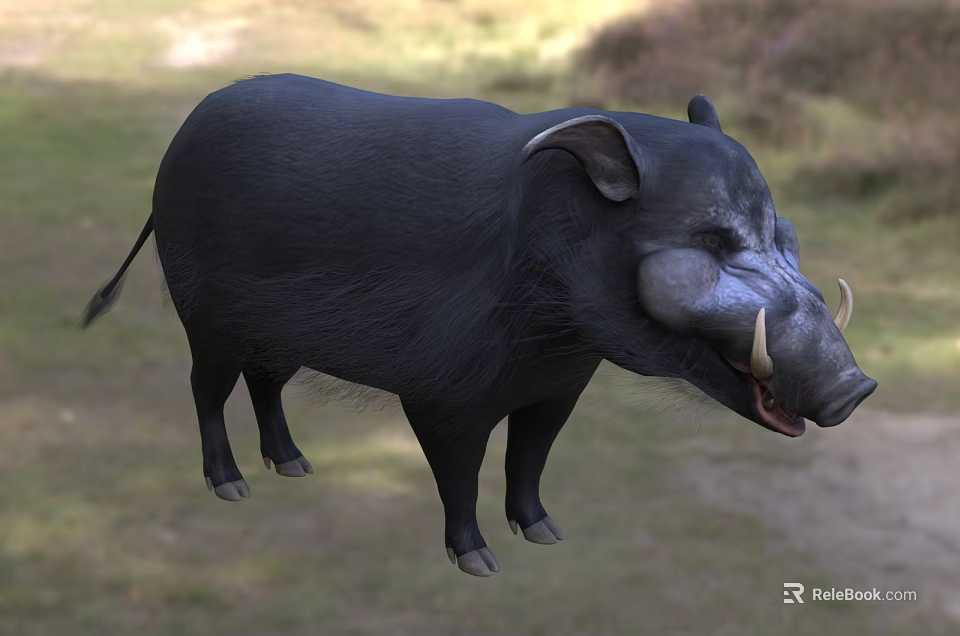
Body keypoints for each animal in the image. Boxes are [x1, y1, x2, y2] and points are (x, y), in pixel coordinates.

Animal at [80, 74, 877, 577]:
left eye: (781, 231)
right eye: (710, 242)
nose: (856, 390)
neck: (552, 328)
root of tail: (174, 149)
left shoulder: (558, 389)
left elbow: (530, 458)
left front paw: (549, 535)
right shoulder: (442, 394)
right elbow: (458, 472)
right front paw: (481, 564)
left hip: (272, 335)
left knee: (265, 386)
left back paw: (297, 466)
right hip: (205, 316)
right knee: (204, 391)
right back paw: (233, 488)